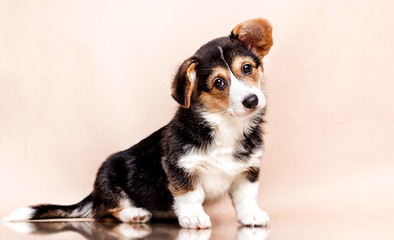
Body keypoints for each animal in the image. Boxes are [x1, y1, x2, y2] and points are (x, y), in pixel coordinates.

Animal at [3, 18, 274, 229]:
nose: (252, 100)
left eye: (247, 68)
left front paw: (251, 215)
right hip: (109, 178)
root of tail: (94, 194)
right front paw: (194, 217)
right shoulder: (179, 168)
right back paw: (135, 213)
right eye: (219, 82)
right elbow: (191, 195)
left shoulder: (248, 171)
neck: (226, 125)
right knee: (106, 212)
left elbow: (245, 197)